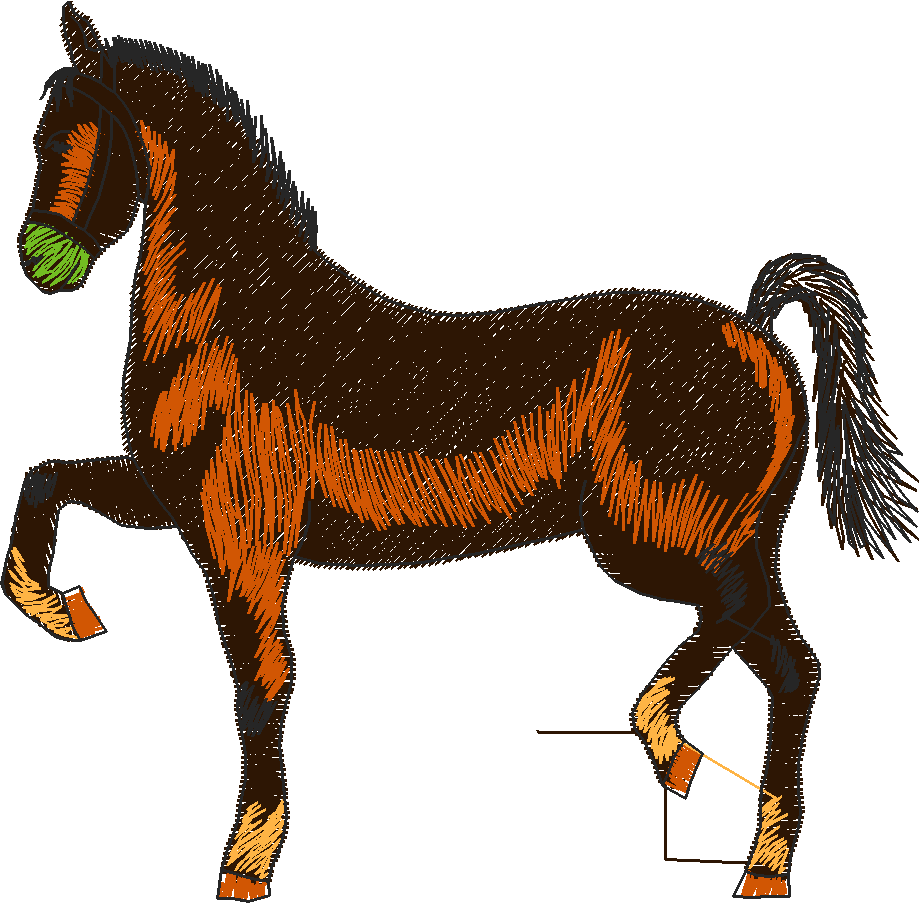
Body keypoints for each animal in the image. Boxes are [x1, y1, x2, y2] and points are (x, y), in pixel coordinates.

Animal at [7, 4, 917, 899]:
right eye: (40, 136)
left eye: (79, 132)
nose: (42, 262)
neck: (227, 321)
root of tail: (755, 334)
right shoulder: (172, 502)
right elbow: (46, 481)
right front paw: (66, 611)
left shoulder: (244, 539)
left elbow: (262, 685)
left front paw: (247, 860)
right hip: (719, 536)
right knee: (794, 664)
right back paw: (764, 864)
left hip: (658, 534)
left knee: (743, 624)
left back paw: (671, 745)